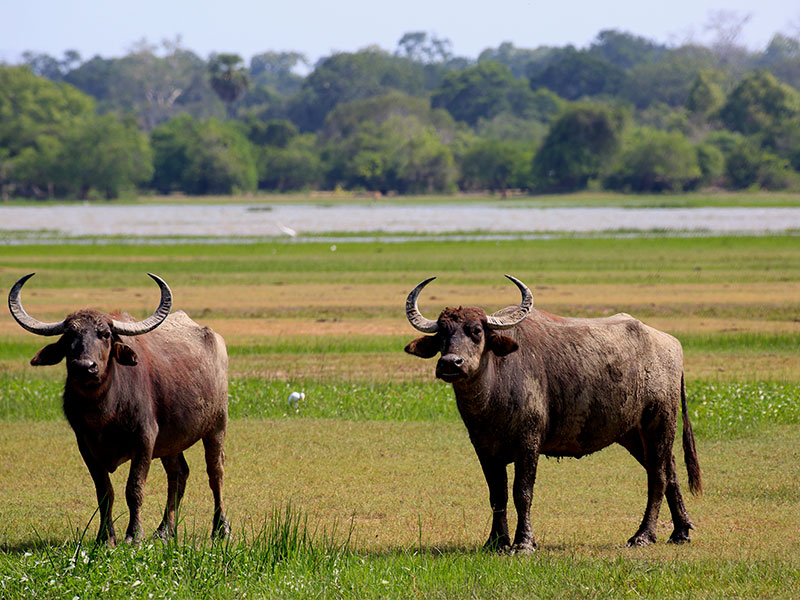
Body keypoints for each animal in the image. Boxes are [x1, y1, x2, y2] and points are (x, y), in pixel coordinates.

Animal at [8, 274, 228, 548]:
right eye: (69, 337)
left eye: (104, 334)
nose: (85, 367)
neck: (104, 412)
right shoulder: (85, 445)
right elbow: (104, 492)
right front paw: (106, 537)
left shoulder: (144, 439)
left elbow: (134, 488)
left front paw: (134, 535)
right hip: (170, 441)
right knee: (178, 474)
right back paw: (165, 530)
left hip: (217, 425)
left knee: (215, 473)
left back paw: (221, 529)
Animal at [406, 274, 700, 552]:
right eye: (443, 334)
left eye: (477, 331)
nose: (451, 363)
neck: (492, 396)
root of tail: (671, 345)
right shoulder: (484, 449)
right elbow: (497, 495)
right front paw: (496, 541)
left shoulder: (528, 443)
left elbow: (522, 492)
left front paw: (524, 543)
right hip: (632, 434)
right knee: (670, 471)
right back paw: (680, 531)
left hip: (659, 423)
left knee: (658, 476)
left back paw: (643, 536)